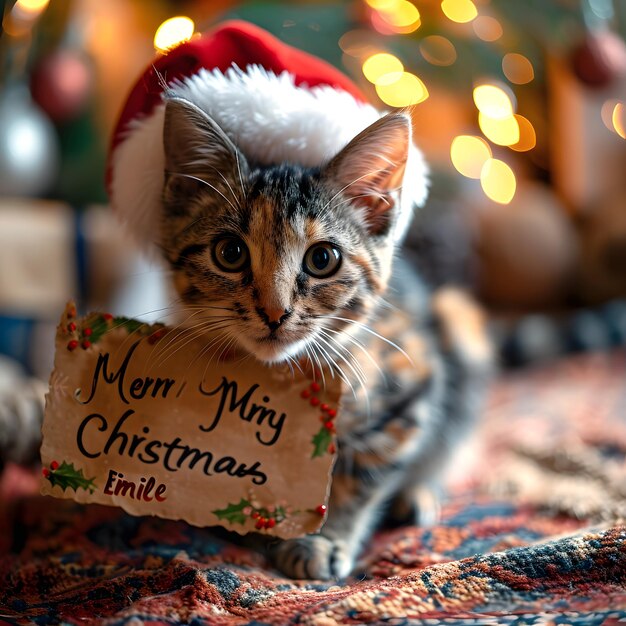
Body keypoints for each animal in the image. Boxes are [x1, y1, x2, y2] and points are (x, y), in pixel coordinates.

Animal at [158, 95, 490, 576]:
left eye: (322, 259)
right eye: (230, 253)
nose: (274, 312)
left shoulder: (409, 386)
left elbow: (357, 478)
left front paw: (324, 540)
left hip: (458, 324)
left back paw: (417, 495)